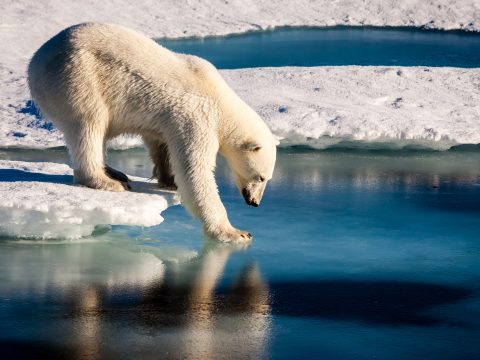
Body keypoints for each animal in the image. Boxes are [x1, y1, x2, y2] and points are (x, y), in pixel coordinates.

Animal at [28, 22, 278, 242]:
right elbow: (195, 171)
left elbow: (160, 143)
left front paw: (169, 180)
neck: (220, 100)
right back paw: (107, 181)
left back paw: (115, 172)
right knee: (89, 125)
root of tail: (35, 61)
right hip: (77, 77)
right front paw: (235, 232)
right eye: (261, 177)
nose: (254, 202)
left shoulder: (167, 120)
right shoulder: (197, 118)